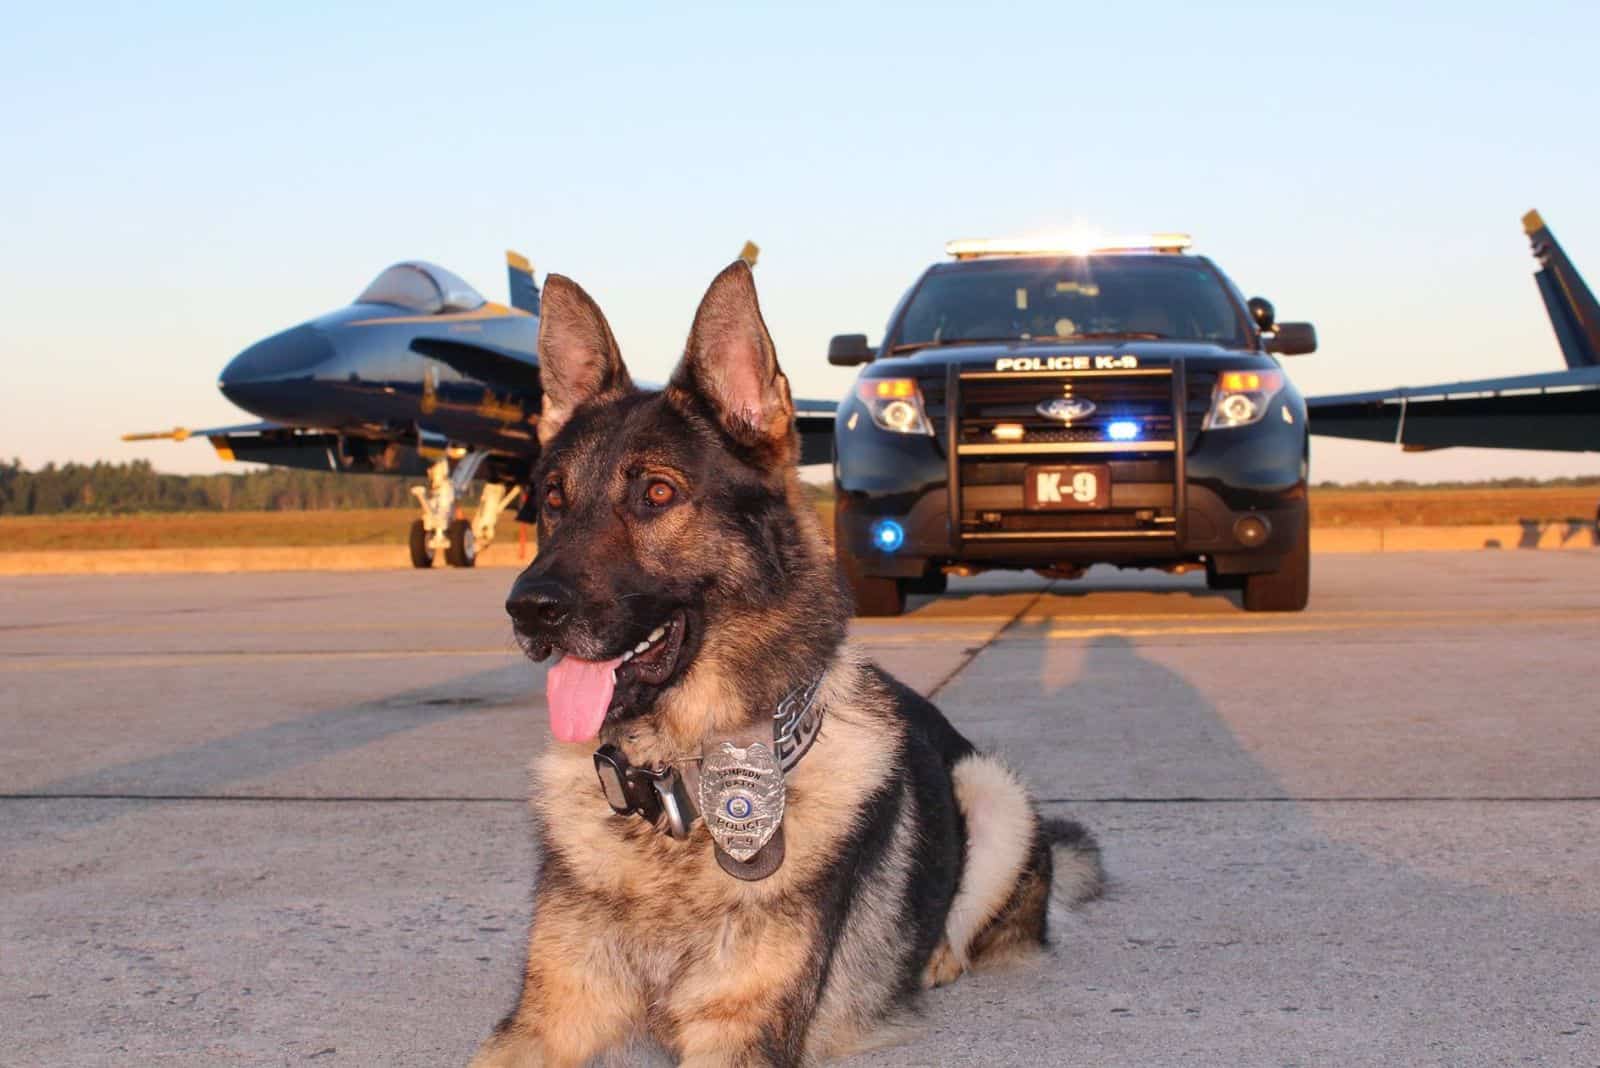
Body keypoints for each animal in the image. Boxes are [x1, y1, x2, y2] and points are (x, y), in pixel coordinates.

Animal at [473, 260, 1100, 1068]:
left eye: (657, 494)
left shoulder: (739, 1035)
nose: (528, 610)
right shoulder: (544, 1023)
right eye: (552, 499)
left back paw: (931, 960)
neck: (678, 788)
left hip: (993, 790)